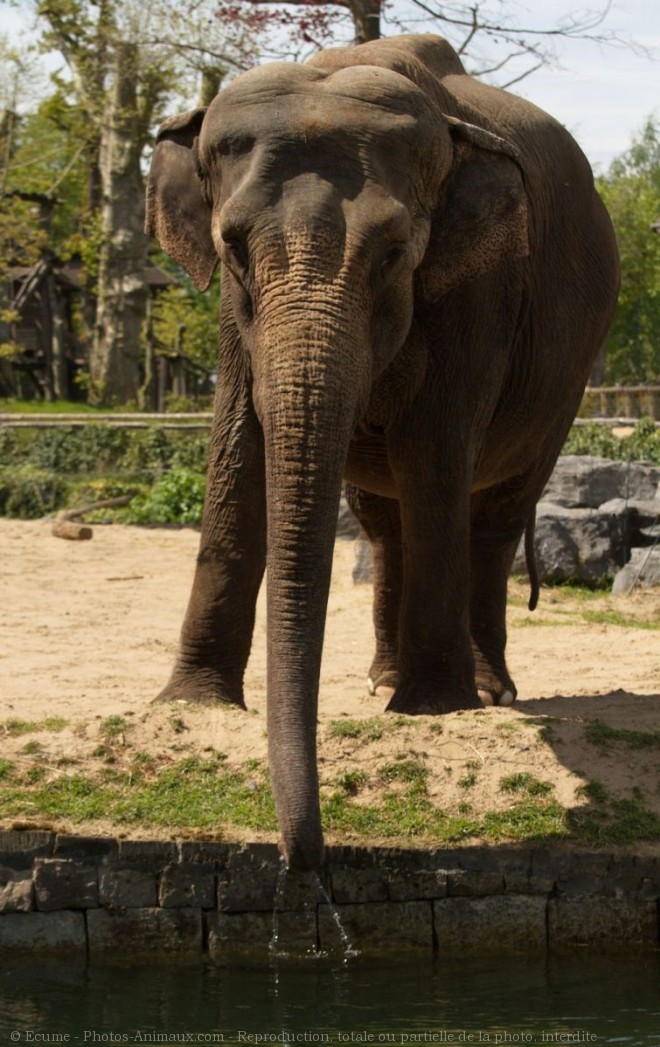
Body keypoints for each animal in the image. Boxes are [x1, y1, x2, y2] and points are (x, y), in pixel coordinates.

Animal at [145, 32, 620, 871]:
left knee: (494, 516)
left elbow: (434, 447)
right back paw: (381, 680)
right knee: (379, 519)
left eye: (395, 252)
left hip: (571, 370)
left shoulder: (480, 291)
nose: (303, 861)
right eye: (232, 248)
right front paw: (193, 704)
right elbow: (237, 440)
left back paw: (487, 692)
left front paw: (434, 709)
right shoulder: (233, 313)